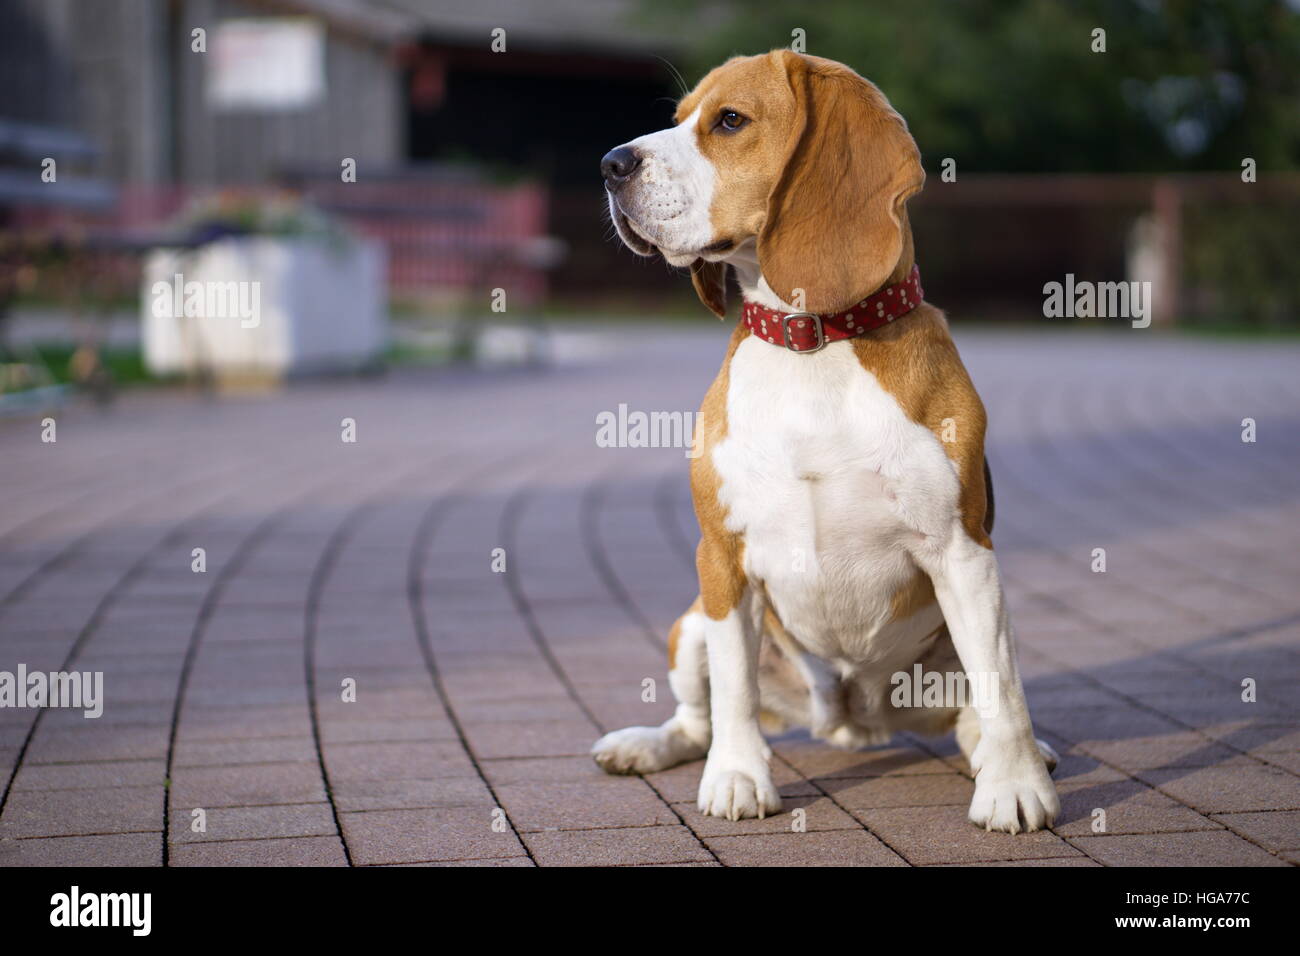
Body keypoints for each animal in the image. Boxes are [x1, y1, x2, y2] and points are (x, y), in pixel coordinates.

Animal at [595, 50, 1060, 837]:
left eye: (729, 121)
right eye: (680, 115)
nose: (610, 164)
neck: (812, 341)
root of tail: (854, 721)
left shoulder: (963, 554)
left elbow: (1002, 690)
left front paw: (1016, 788)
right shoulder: (721, 560)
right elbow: (736, 694)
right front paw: (738, 778)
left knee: (978, 708)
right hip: (690, 626)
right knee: (696, 718)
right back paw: (646, 745)